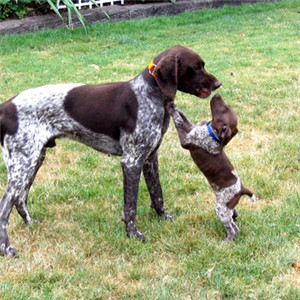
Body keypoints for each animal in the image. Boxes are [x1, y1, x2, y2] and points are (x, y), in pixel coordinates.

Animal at [0, 44, 220, 255]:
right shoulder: (131, 162)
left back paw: (30, 223)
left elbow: (157, 194)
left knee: (20, 199)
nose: (218, 84)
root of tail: (6, 106)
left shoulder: (150, 158)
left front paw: (163, 217)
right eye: (196, 68)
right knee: (4, 208)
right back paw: (6, 249)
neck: (149, 94)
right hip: (22, 166)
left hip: (33, 160)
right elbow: (130, 206)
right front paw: (132, 234)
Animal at [166, 95, 255, 243]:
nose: (217, 95)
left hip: (221, 209)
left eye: (223, 109)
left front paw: (170, 108)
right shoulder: (192, 127)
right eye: (226, 106)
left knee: (232, 230)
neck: (212, 133)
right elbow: (182, 115)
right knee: (235, 226)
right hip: (227, 210)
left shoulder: (185, 141)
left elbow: (178, 120)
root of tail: (242, 189)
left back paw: (226, 242)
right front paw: (174, 105)